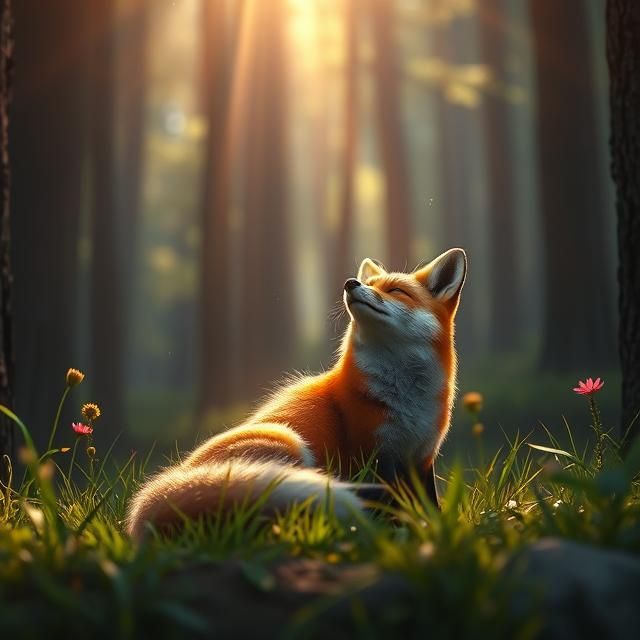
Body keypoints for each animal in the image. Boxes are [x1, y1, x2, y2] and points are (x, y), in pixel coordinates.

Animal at [125, 248, 467, 540]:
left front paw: (433, 529)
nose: (351, 283)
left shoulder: (421, 457)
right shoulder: (373, 456)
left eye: (396, 291)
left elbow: (431, 507)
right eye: (370, 284)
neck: (407, 401)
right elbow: (386, 505)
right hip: (288, 440)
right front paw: (393, 529)